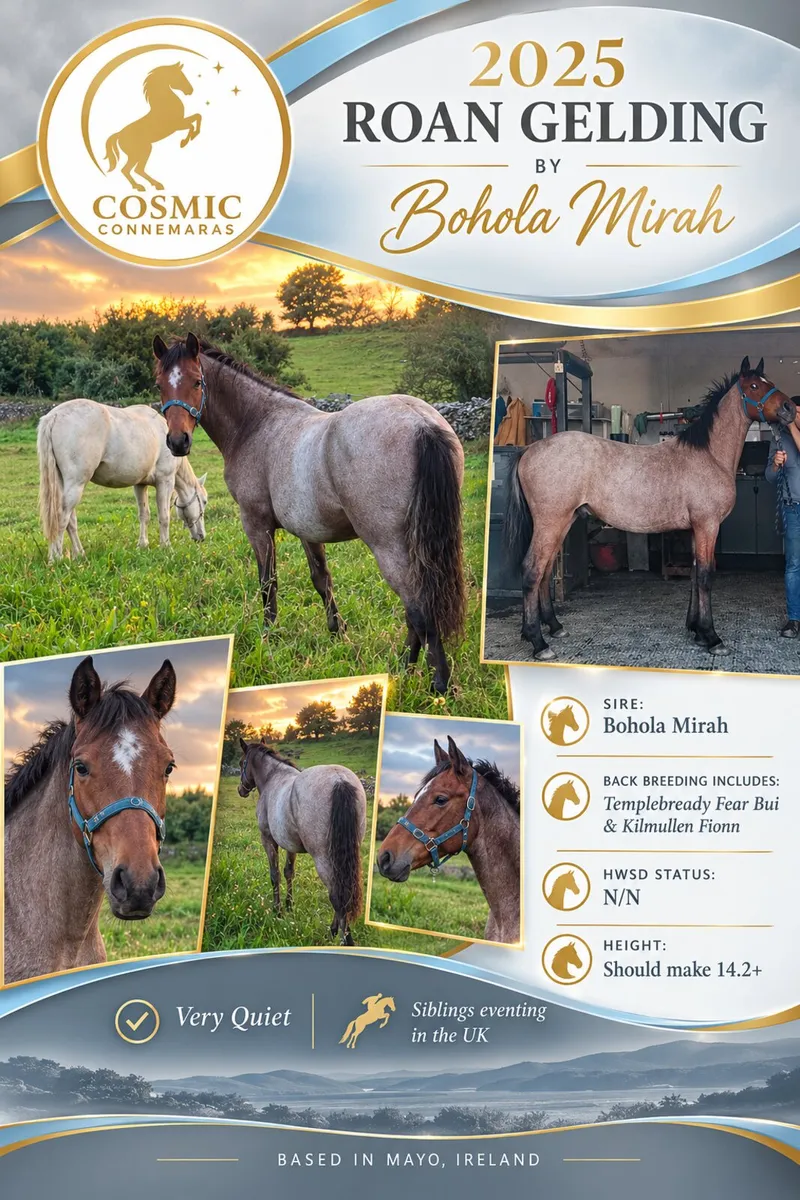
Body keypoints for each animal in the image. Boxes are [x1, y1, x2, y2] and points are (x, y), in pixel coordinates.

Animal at [37, 399, 208, 561]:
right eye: (204, 501)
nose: (201, 537)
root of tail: (53, 416)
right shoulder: (165, 481)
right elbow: (164, 516)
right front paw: (166, 547)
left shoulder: (140, 485)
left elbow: (144, 515)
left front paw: (143, 545)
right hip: (76, 485)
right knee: (61, 518)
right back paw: (56, 558)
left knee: (70, 521)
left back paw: (79, 554)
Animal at [105, 62, 201, 192]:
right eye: (179, 76)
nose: (190, 90)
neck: (165, 103)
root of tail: (119, 134)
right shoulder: (176, 126)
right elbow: (192, 124)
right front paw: (184, 142)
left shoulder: (180, 122)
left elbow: (197, 116)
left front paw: (192, 137)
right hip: (142, 151)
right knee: (132, 169)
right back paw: (145, 186)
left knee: (133, 170)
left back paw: (150, 185)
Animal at [153, 333, 466, 693]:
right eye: (160, 384)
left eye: (196, 381)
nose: (178, 442)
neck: (257, 425)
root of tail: (420, 422)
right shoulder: (308, 530)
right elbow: (322, 579)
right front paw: (337, 630)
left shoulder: (256, 524)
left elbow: (268, 582)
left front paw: (268, 634)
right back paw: (403, 667)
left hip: (391, 548)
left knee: (418, 607)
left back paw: (437, 683)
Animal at [238, 739, 367, 945]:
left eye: (242, 762)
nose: (240, 790)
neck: (273, 778)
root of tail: (339, 780)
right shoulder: (290, 845)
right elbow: (289, 872)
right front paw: (289, 906)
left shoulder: (268, 840)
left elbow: (275, 875)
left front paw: (278, 911)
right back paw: (334, 931)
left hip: (323, 858)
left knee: (337, 896)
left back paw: (341, 937)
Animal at [505, 357, 796, 659]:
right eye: (754, 386)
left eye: (770, 382)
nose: (790, 408)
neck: (710, 456)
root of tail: (530, 449)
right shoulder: (708, 525)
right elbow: (705, 576)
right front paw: (712, 637)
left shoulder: (697, 529)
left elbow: (694, 574)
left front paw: (696, 631)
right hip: (550, 522)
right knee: (532, 571)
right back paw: (539, 643)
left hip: (563, 522)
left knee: (546, 571)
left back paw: (554, 626)